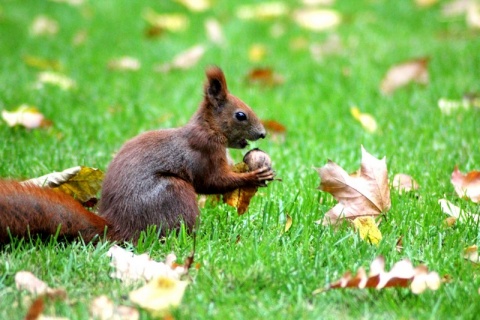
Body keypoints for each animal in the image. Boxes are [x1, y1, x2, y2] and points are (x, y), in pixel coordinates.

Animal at [0, 66, 274, 244]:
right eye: (240, 115)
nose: (262, 134)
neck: (209, 128)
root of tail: (117, 226)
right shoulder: (202, 152)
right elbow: (211, 181)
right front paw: (254, 176)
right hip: (173, 192)